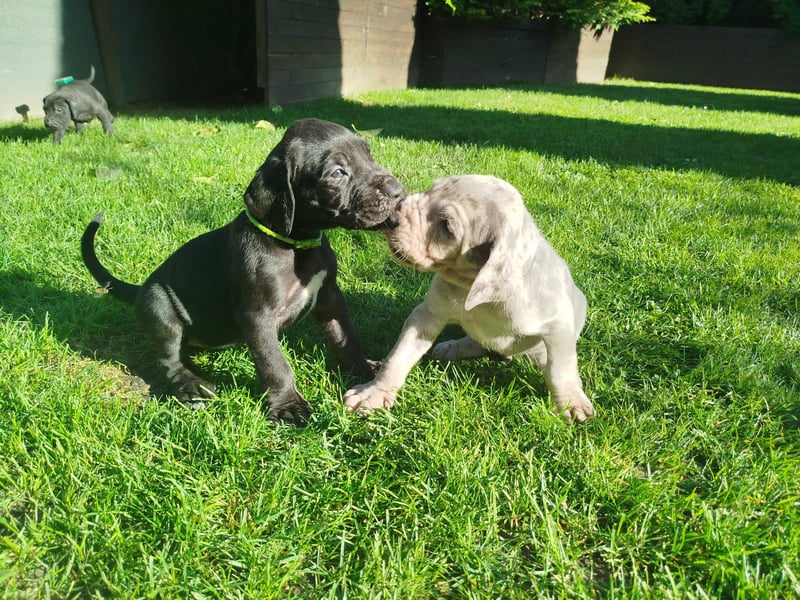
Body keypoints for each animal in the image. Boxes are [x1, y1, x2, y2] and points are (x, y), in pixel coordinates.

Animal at [83, 118, 406, 426]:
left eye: (368, 154)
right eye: (338, 172)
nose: (398, 192)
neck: (296, 244)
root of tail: (140, 289)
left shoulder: (330, 297)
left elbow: (345, 337)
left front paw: (365, 372)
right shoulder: (257, 316)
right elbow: (275, 363)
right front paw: (287, 405)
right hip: (159, 306)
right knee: (168, 359)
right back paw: (192, 385)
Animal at [344, 175, 592, 422]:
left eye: (446, 225)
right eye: (431, 189)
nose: (392, 216)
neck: (471, 287)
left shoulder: (559, 327)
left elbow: (560, 369)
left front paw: (571, 401)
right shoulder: (426, 315)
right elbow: (398, 357)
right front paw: (374, 393)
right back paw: (455, 347)